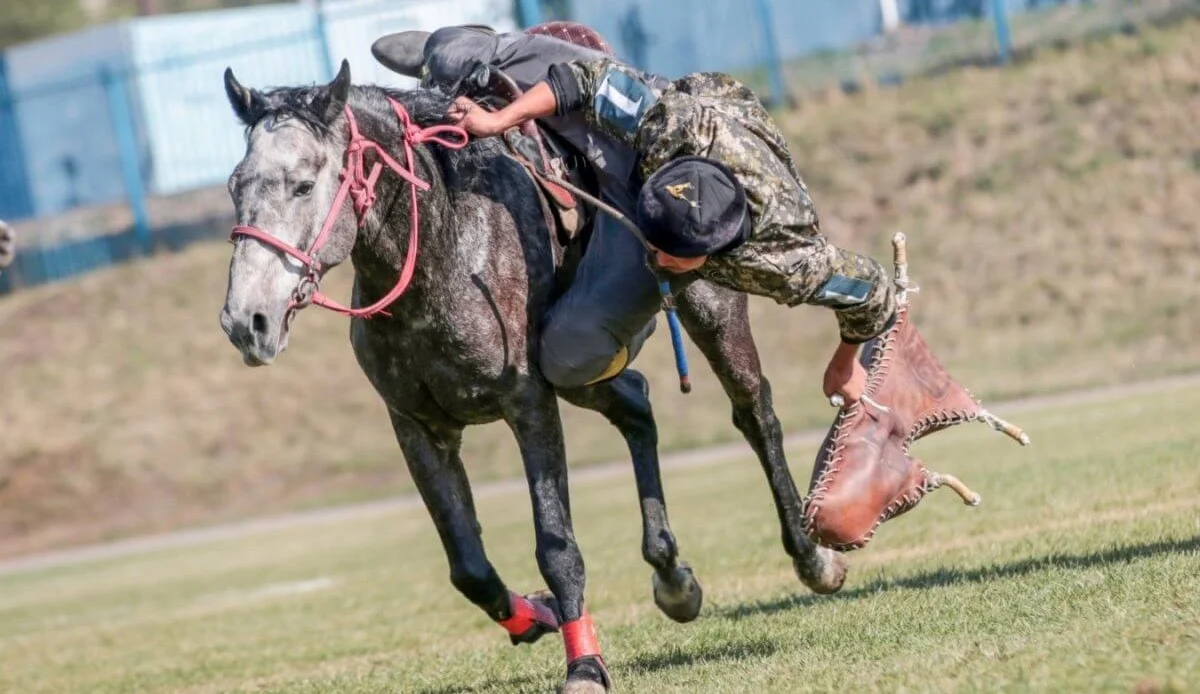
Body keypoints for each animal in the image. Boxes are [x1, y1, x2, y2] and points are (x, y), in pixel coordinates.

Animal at [220, 62, 849, 686]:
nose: (246, 321)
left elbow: (556, 546)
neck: (446, 244)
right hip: (583, 369)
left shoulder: (529, 405)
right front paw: (536, 615)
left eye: (304, 185)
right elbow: (468, 566)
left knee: (754, 413)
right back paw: (672, 576)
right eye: (235, 186)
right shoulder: (416, 426)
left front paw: (586, 663)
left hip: (711, 310)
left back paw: (811, 556)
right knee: (637, 404)